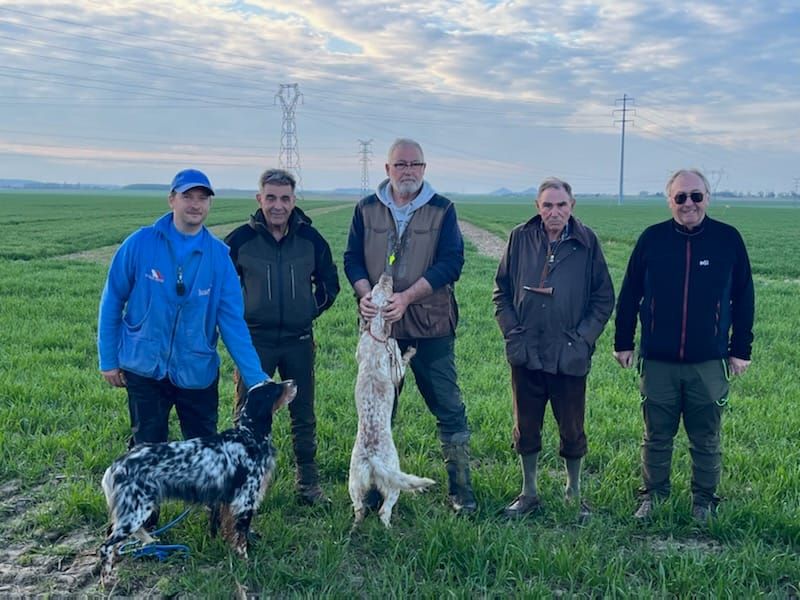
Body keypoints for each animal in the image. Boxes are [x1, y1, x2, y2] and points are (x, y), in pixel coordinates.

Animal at [97, 380, 296, 584]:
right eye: (275, 388)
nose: (293, 382)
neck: (248, 437)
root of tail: (116, 465)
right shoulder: (245, 500)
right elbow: (241, 538)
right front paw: (246, 564)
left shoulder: (228, 501)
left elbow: (230, 532)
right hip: (135, 513)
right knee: (106, 545)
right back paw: (107, 578)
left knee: (110, 536)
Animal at [350, 274, 438, 528]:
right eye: (386, 289)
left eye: (377, 288)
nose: (386, 275)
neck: (376, 335)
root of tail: (373, 459)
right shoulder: (396, 364)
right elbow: (403, 359)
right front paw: (411, 351)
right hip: (392, 484)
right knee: (384, 511)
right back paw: (388, 528)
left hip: (354, 483)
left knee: (359, 509)